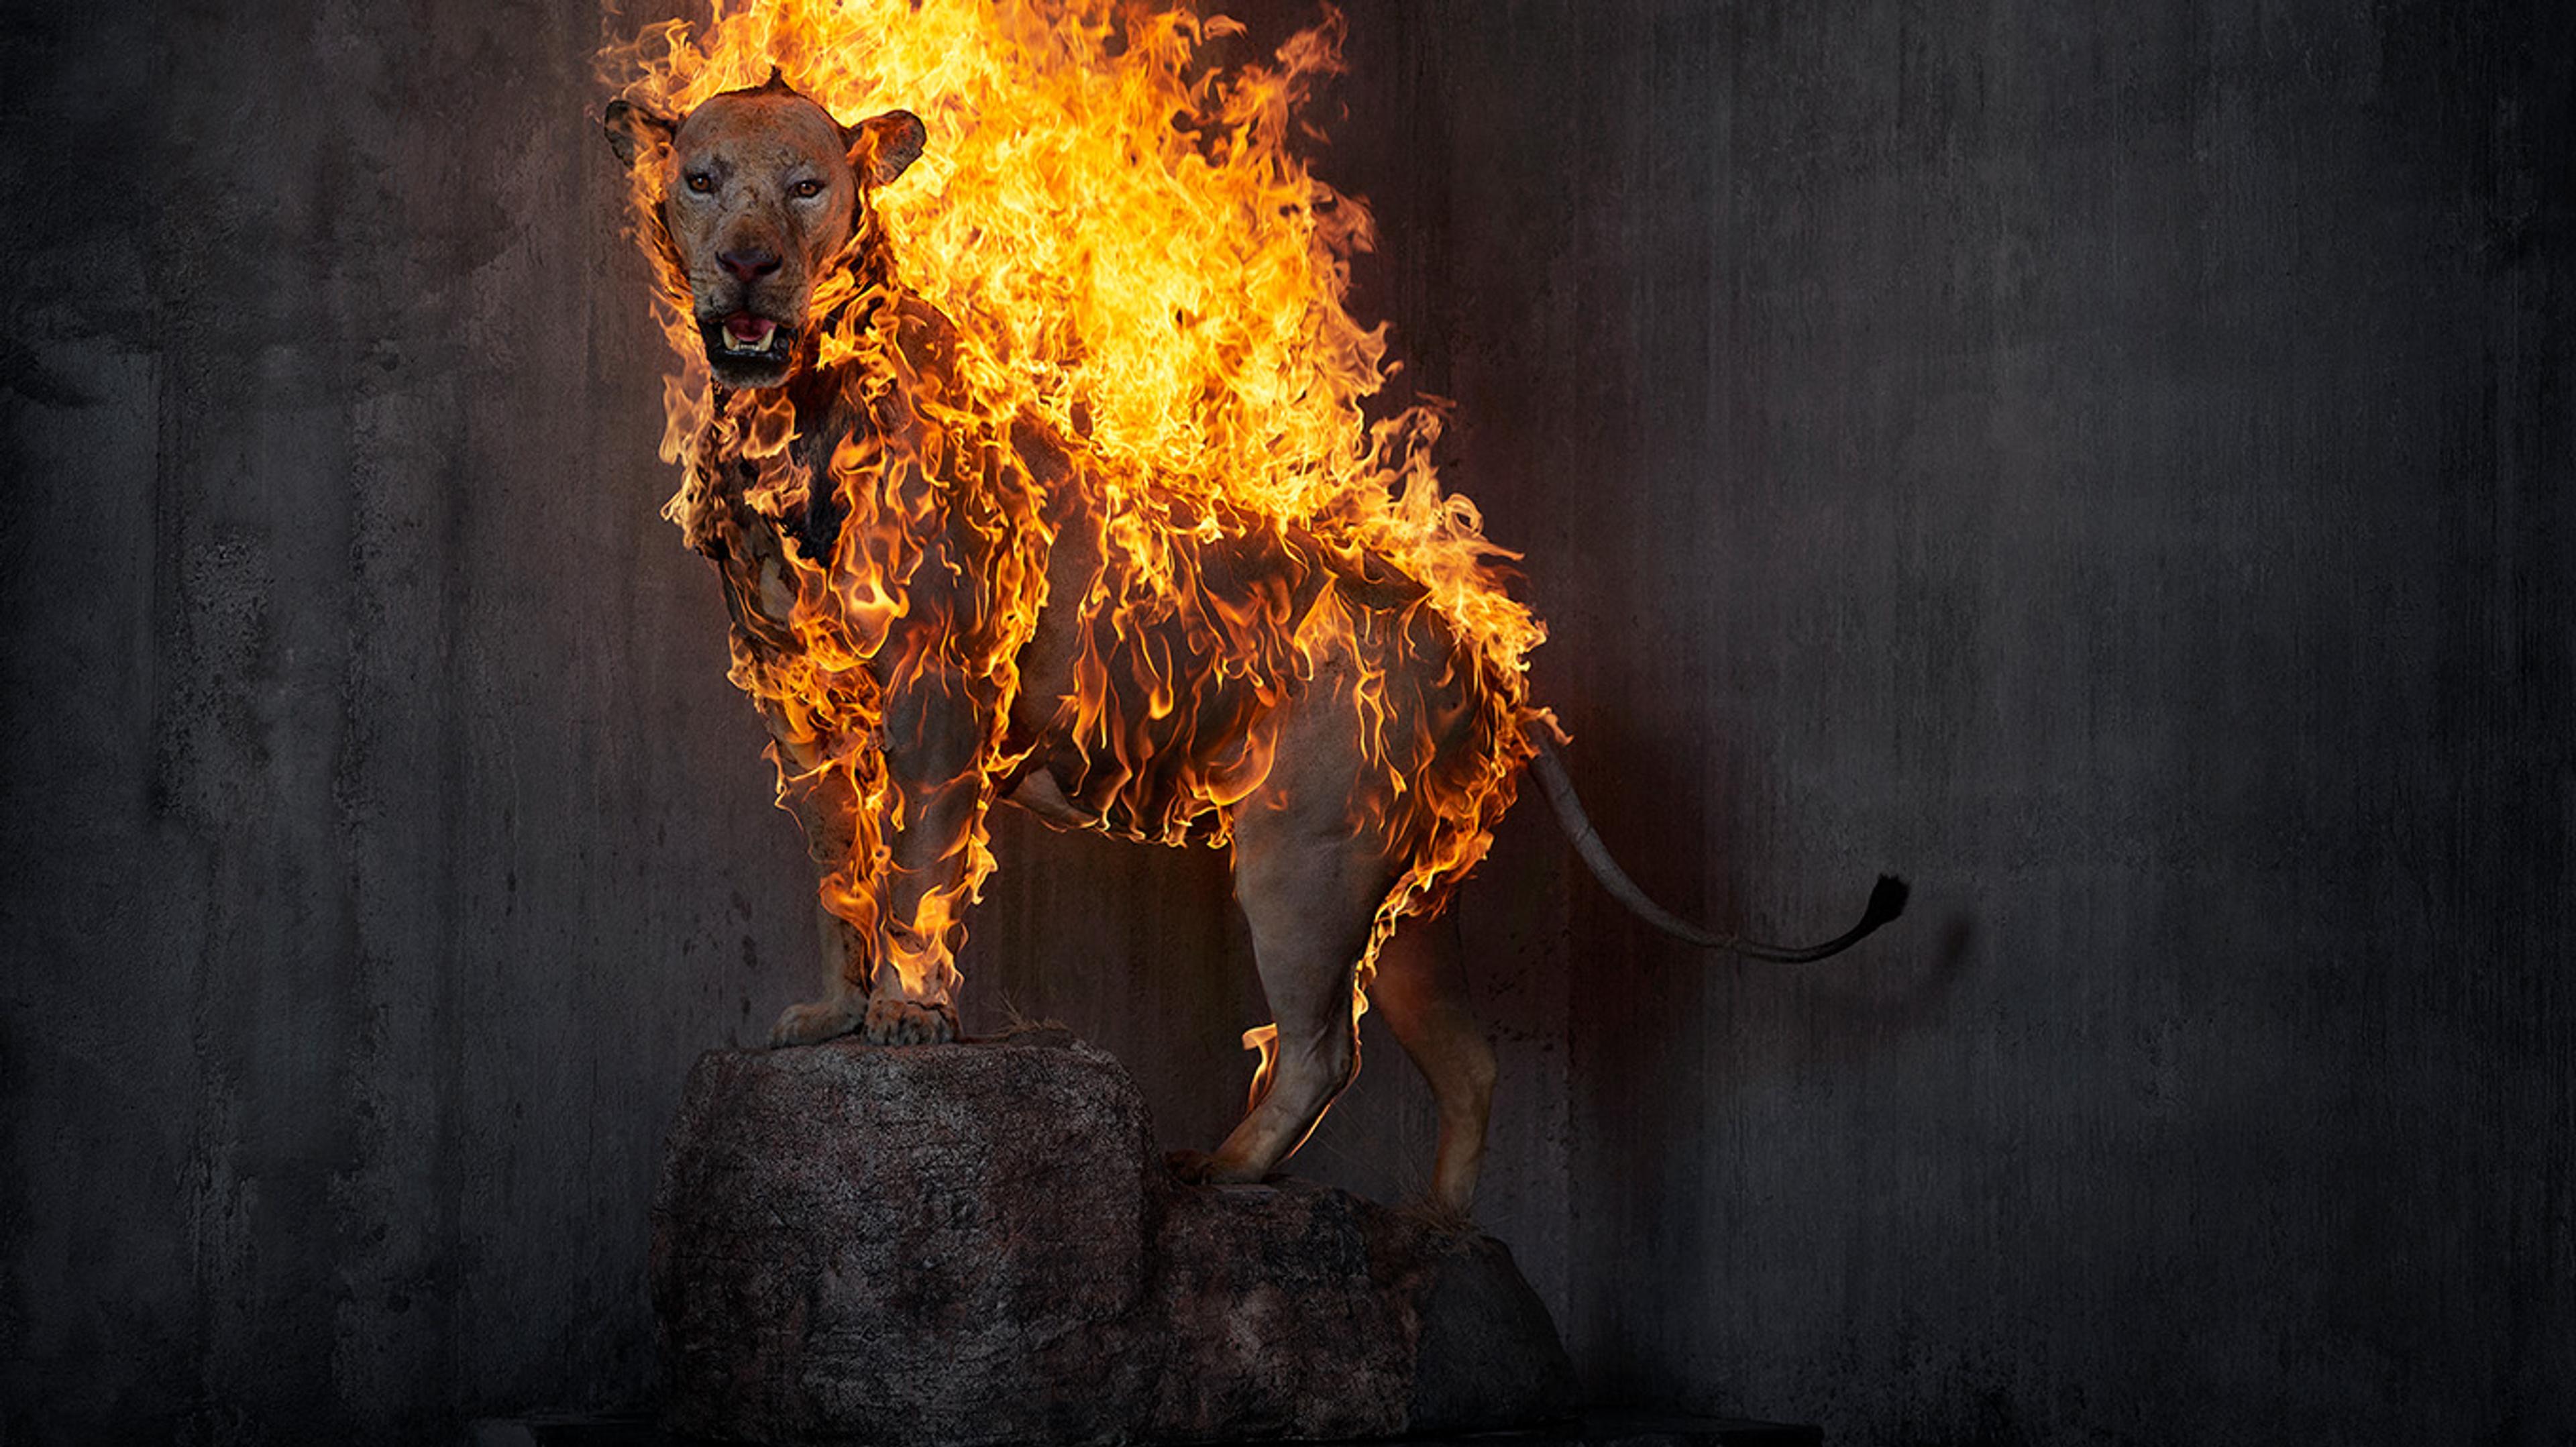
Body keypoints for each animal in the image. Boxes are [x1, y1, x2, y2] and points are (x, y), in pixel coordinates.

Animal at [601, 73, 1903, 1215]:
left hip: (1305, 858)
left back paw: (1217, 1170)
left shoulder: (939, 690)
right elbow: (839, 873)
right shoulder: (798, 706)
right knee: (1467, 1057)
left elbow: (919, 869)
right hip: (1411, 896)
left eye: (807, 188)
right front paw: (836, 1011)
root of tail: (1479, 647)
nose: (749, 261)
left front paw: (912, 1016)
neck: (784, 411)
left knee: (1325, 1048)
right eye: (703, 180)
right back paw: (1435, 1229)